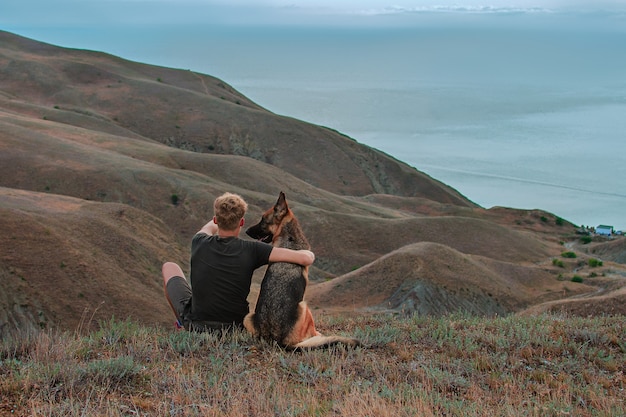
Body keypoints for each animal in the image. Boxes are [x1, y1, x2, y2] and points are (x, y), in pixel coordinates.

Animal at [244, 192, 360, 348]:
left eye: (263, 220)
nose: (246, 230)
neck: (287, 238)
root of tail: (277, 340)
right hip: (305, 307)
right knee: (312, 332)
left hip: (248, 317)